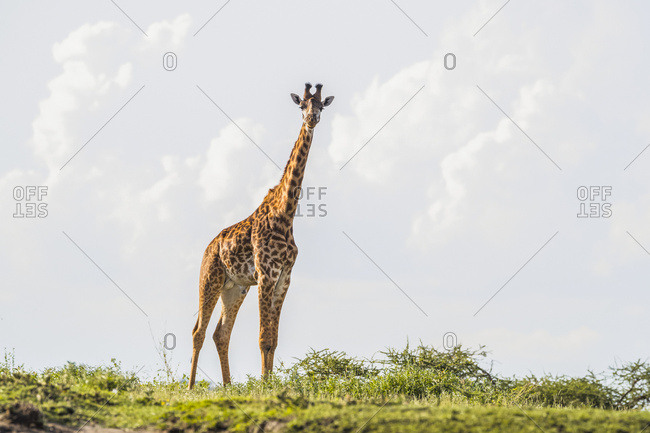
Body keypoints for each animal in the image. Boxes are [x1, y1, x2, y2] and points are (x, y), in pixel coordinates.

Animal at [188, 83, 334, 389]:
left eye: (321, 106)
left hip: (234, 287)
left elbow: (273, 339)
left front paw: (269, 382)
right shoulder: (266, 275)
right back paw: (191, 387)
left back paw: (228, 386)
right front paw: (266, 386)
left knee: (221, 333)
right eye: (302, 105)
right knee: (198, 331)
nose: (312, 119)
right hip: (210, 279)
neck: (286, 214)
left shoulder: (283, 279)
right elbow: (264, 337)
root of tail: (209, 246)